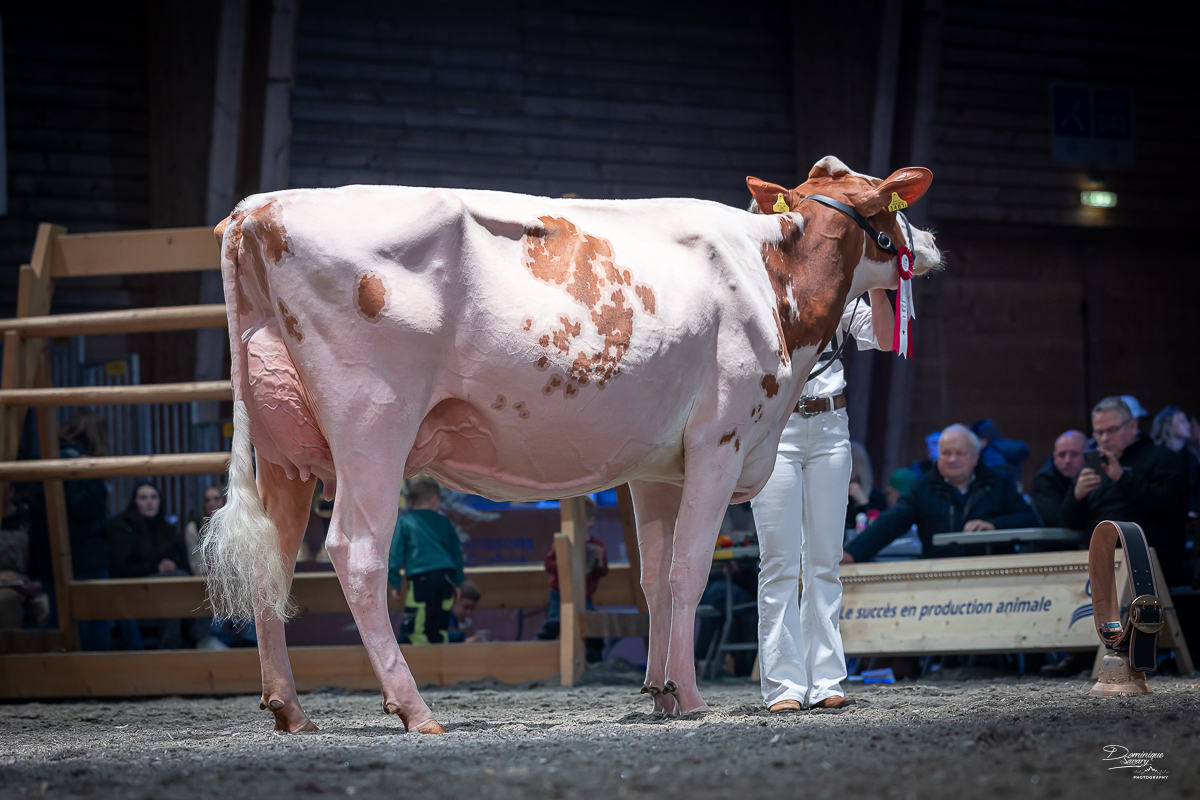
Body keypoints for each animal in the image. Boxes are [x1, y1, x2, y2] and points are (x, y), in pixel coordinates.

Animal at [202, 155, 941, 734]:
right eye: (891, 203)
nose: (930, 242)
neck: (774, 281)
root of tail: (257, 209)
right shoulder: (721, 440)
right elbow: (689, 571)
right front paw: (690, 696)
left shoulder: (657, 468)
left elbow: (654, 576)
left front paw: (659, 691)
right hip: (373, 425)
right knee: (356, 553)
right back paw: (414, 708)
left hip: (284, 450)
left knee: (274, 558)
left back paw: (290, 709)